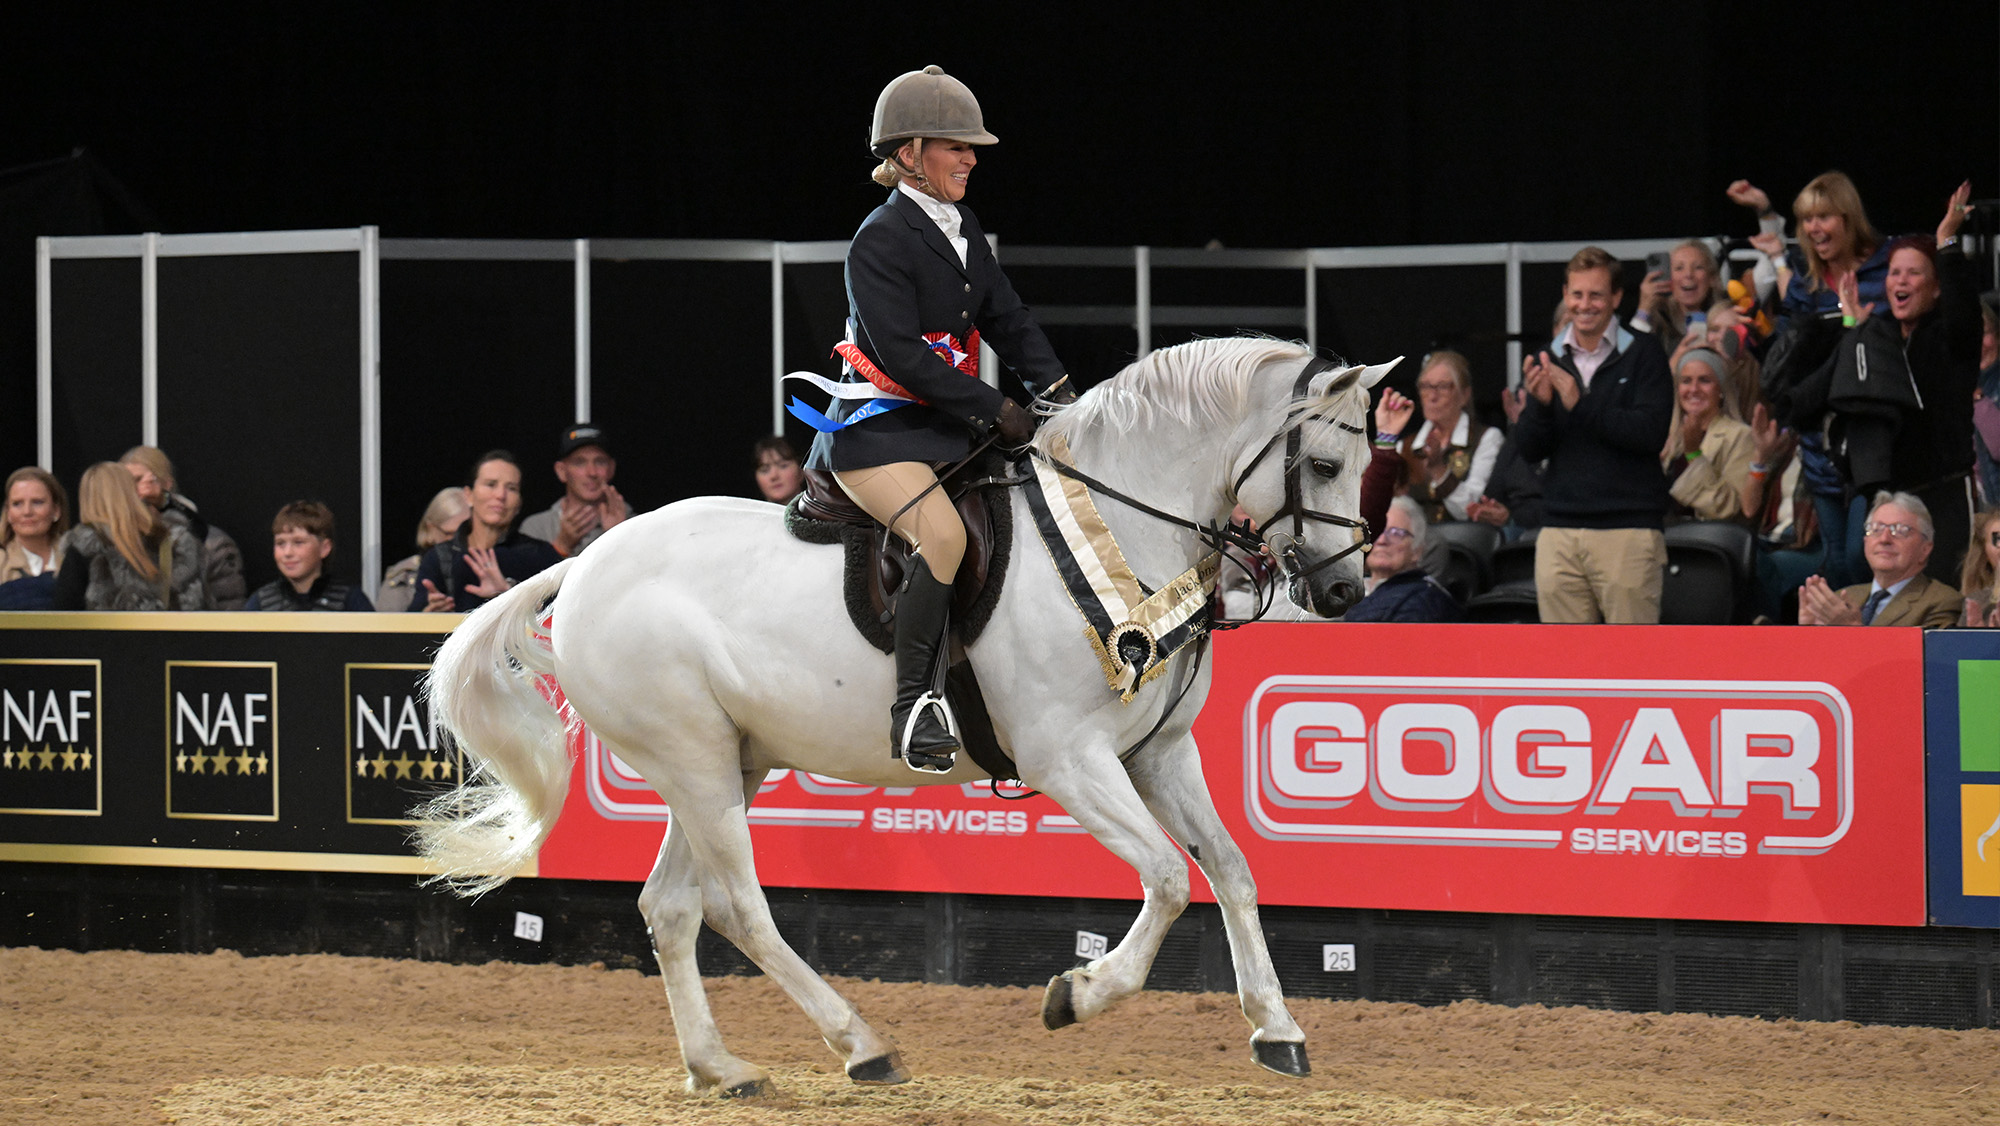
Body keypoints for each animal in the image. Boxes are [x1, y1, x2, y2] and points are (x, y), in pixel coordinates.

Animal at [416, 336, 1394, 1095]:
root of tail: (583, 563)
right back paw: (862, 1045)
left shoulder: (1160, 754)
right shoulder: (1068, 758)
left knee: (671, 907)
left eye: (1368, 467)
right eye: (1324, 464)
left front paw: (1277, 1030)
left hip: (728, 760)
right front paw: (1076, 994)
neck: (1119, 532)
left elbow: (1231, 871)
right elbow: (1166, 878)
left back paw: (720, 1068)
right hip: (691, 759)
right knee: (737, 906)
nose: (1344, 592)